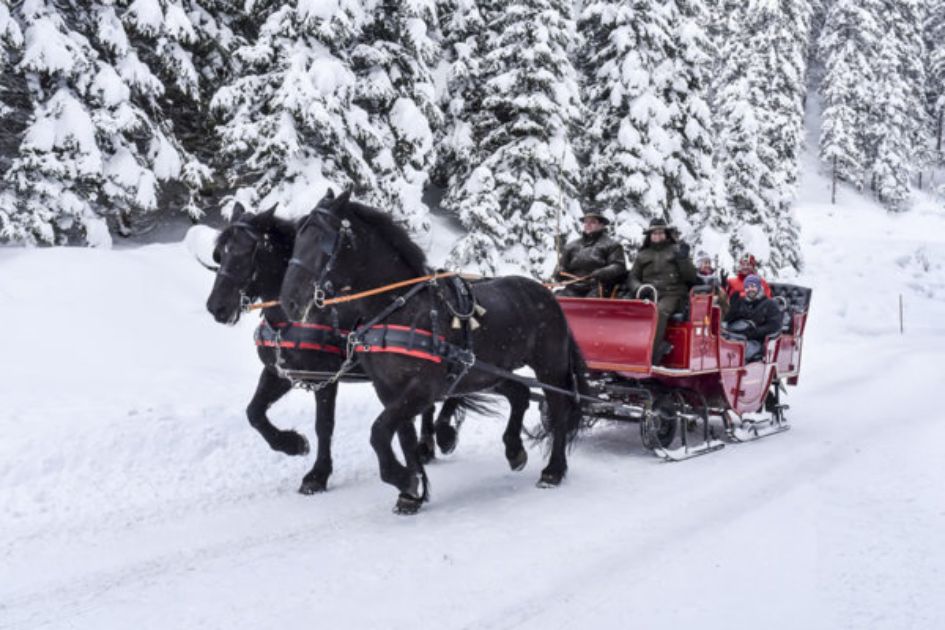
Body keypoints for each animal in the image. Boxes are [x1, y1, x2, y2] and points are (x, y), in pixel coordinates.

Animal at [203, 204, 460, 498]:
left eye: (247, 251)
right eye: (220, 254)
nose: (216, 306)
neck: (295, 319)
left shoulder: (325, 377)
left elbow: (323, 426)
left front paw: (317, 475)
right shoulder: (280, 372)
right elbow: (254, 412)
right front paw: (293, 444)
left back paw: (440, 437)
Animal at [276, 191, 588, 512]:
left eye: (323, 240)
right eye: (297, 238)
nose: (289, 301)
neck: (400, 308)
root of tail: (546, 294)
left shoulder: (422, 389)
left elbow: (379, 432)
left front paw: (402, 478)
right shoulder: (389, 390)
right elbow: (402, 437)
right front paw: (411, 491)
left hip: (549, 366)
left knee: (559, 408)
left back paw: (553, 470)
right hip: (487, 373)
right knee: (521, 394)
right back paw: (514, 450)